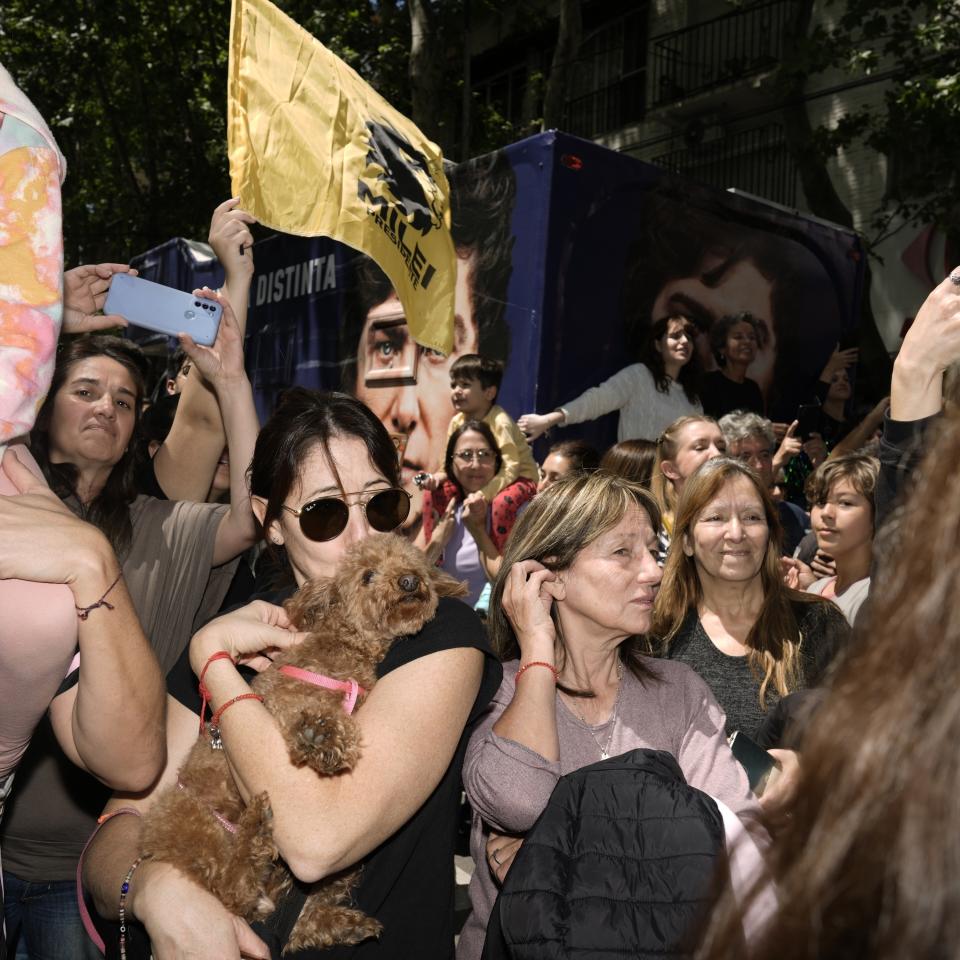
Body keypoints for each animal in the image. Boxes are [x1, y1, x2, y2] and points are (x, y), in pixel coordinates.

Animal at [141, 532, 466, 952]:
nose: (410, 581)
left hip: (313, 877)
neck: (347, 647)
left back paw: (346, 923)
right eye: (368, 575)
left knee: (291, 918)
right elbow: (305, 714)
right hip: (204, 830)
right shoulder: (283, 702)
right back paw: (257, 826)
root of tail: (155, 841)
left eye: (414, 565)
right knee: (232, 890)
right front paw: (321, 735)